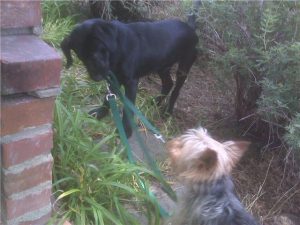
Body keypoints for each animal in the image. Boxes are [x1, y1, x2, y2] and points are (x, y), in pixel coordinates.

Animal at [60, 18, 199, 136]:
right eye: (81, 57)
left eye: (96, 54)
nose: (97, 77)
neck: (118, 48)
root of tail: (190, 27)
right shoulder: (114, 79)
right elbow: (108, 98)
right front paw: (100, 113)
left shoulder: (131, 82)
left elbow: (127, 109)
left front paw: (126, 131)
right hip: (162, 66)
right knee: (168, 83)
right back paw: (155, 102)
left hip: (184, 67)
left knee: (176, 90)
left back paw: (168, 112)